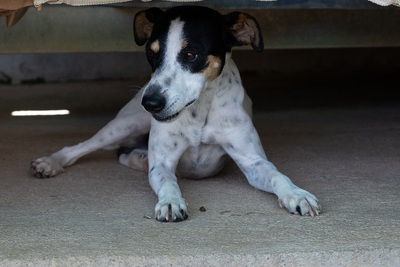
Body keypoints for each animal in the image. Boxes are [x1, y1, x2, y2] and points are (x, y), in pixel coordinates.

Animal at [30, 6, 322, 223]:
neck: (199, 111)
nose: (151, 103)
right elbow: (168, 181)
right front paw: (171, 202)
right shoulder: (164, 163)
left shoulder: (253, 162)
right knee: (82, 147)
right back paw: (51, 162)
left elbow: (277, 174)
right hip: (125, 124)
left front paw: (297, 195)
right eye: (151, 53)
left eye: (191, 54)